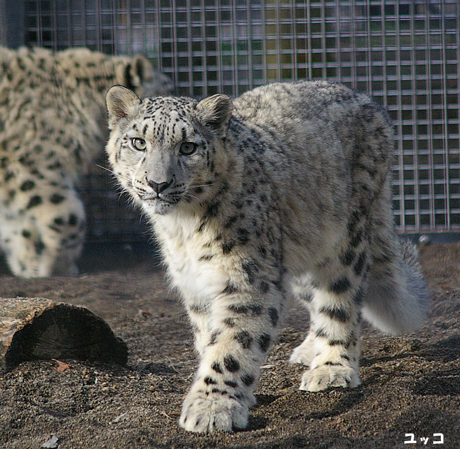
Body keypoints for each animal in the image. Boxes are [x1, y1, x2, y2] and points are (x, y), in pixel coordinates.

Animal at [106, 81, 430, 434]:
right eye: (138, 143)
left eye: (188, 147)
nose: (158, 183)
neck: (182, 228)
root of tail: (368, 102)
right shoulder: (196, 286)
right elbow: (210, 339)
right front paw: (232, 396)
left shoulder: (248, 278)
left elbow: (231, 346)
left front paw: (211, 407)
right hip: (299, 250)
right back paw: (309, 349)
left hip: (345, 238)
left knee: (340, 299)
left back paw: (331, 368)